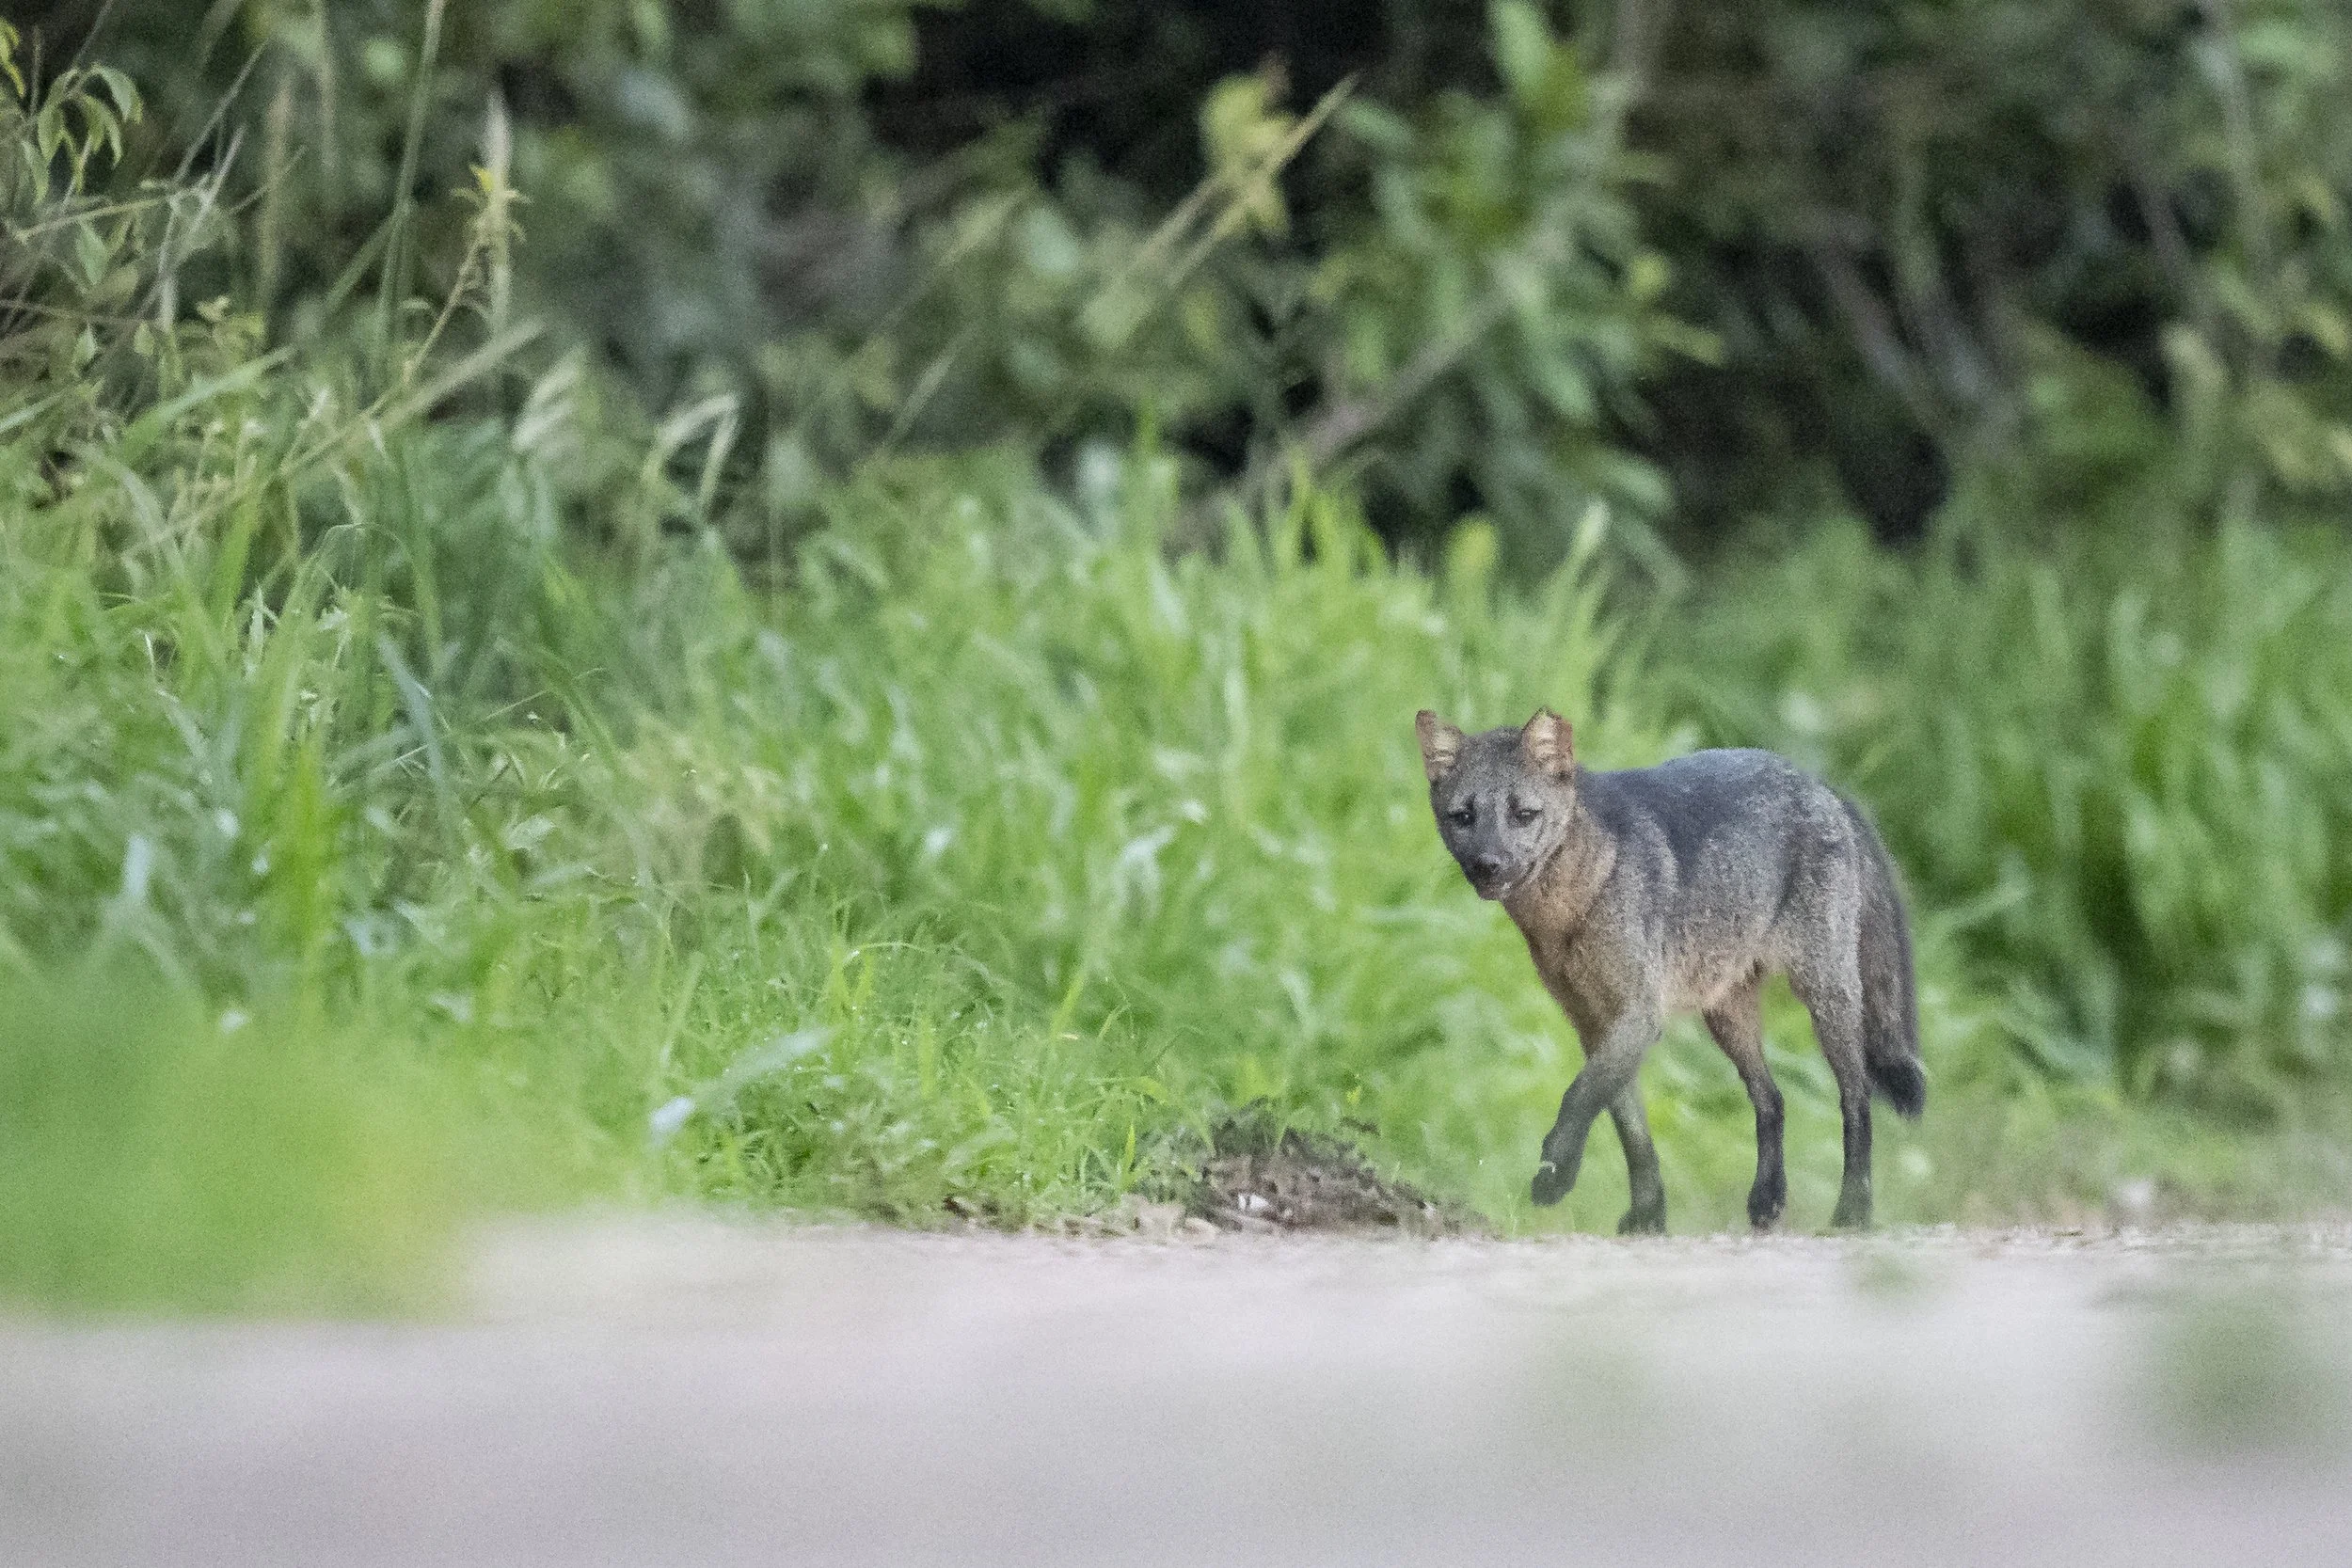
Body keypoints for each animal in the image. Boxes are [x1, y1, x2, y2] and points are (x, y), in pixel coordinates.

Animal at [1415, 707, 1923, 1232]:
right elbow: (1630, 1129)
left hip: (1826, 998)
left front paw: (1555, 1177)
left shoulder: (1640, 1015)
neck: (1570, 910)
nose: (1488, 865)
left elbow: (1580, 1096)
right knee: (1772, 1099)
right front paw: (1648, 1215)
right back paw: (1767, 1199)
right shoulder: (1594, 1023)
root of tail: (1823, 786)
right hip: (1728, 1018)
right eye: (1463, 816)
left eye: (1523, 814)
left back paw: (1854, 1210)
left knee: (1856, 1098)